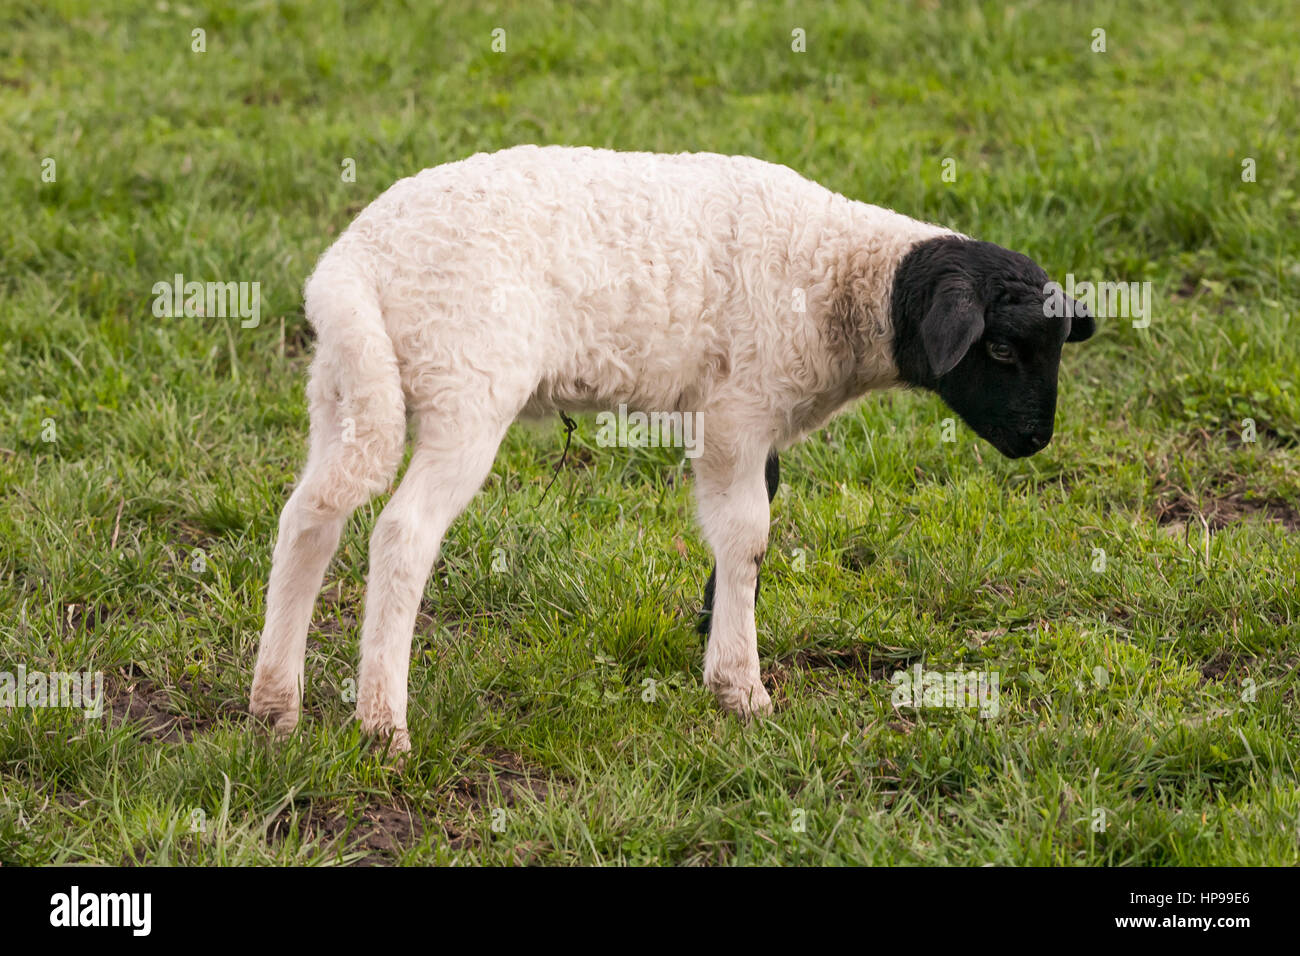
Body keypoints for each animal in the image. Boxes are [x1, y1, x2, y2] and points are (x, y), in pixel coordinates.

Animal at [248, 145, 1092, 749]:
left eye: (1056, 350)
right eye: (1003, 351)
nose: (1035, 440)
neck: (845, 284)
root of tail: (352, 267)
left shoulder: (742, 426)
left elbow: (738, 535)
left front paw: (713, 642)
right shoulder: (740, 413)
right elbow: (749, 536)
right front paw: (742, 688)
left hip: (346, 387)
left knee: (310, 516)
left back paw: (275, 704)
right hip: (466, 387)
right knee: (401, 535)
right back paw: (383, 724)